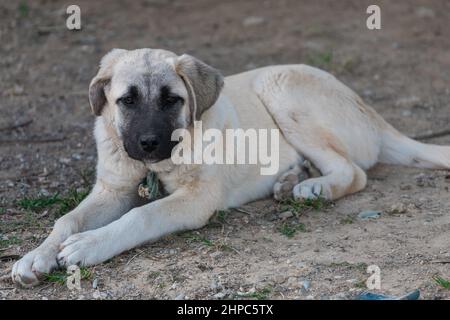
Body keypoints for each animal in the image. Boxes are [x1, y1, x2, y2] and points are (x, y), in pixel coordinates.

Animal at [10, 48, 450, 288]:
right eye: (127, 100)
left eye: (172, 100)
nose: (148, 144)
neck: (157, 166)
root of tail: (373, 115)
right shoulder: (113, 189)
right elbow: (66, 220)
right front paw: (35, 257)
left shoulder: (197, 198)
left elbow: (141, 216)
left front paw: (89, 245)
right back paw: (291, 180)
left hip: (280, 87)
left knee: (354, 172)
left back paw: (314, 188)